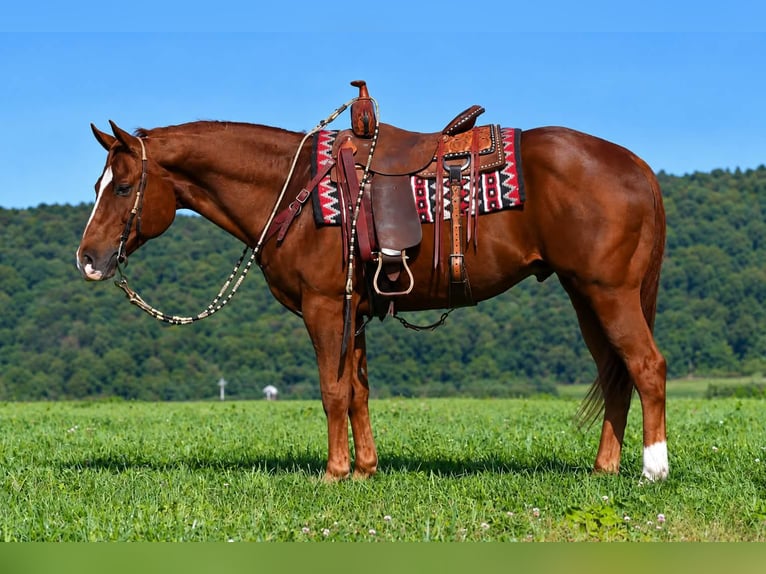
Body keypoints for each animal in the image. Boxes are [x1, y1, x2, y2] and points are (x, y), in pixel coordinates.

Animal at [75, 103, 668, 482]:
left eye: (122, 187)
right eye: (98, 186)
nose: (88, 259)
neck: (293, 188)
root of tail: (637, 166)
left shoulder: (323, 308)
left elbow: (332, 391)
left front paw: (335, 473)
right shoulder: (352, 312)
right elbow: (358, 390)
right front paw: (364, 469)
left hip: (609, 292)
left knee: (645, 366)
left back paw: (653, 469)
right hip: (584, 295)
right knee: (615, 373)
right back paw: (604, 468)